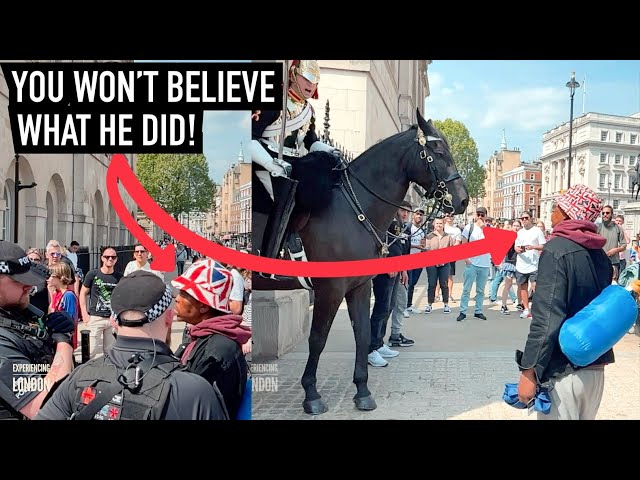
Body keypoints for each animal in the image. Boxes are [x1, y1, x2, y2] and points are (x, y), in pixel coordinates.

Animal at [252, 108, 468, 412]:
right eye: (438, 152)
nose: (463, 200)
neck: (354, 209)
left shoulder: (359, 286)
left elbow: (363, 332)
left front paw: (362, 390)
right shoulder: (330, 289)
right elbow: (318, 338)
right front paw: (311, 394)